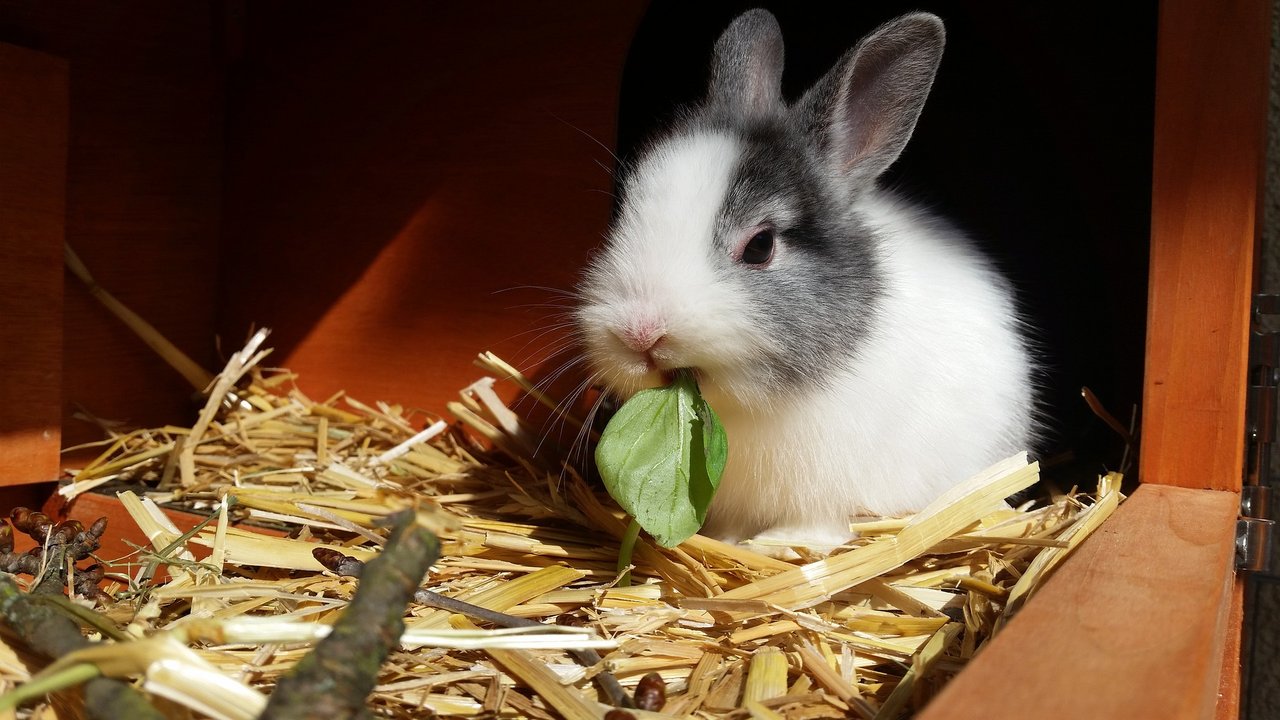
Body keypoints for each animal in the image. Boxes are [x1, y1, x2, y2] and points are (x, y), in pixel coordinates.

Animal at [576, 9, 1034, 548]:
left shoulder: (830, 491)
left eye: (760, 246)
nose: (639, 333)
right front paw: (727, 541)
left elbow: (820, 525)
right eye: (625, 212)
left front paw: (775, 543)